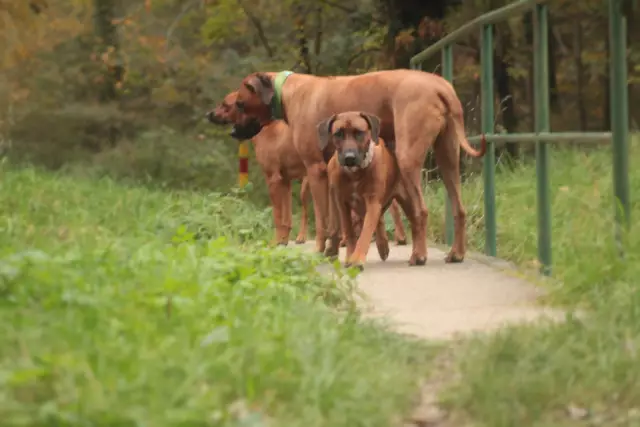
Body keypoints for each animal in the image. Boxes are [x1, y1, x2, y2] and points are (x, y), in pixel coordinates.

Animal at [316, 111, 416, 270]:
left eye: (359, 133)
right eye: (338, 134)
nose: (349, 158)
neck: (355, 173)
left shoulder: (372, 201)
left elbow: (366, 232)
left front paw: (357, 259)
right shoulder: (342, 203)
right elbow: (349, 231)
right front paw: (350, 255)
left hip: (402, 196)